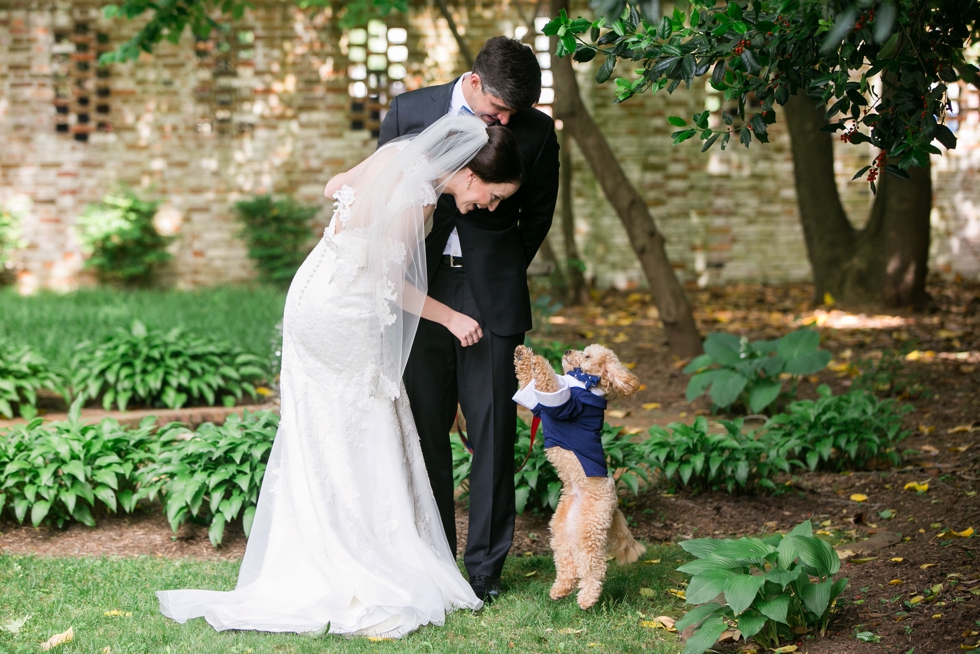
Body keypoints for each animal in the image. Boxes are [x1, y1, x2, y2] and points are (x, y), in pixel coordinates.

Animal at [516, 346, 648, 612]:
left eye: (587, 356)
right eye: (583, 350)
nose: (568, 350)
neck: (582, 383)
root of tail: (615, 506)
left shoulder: (565, 407)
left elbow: (548, 382)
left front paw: (540, 361)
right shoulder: (537, 405)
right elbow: (528, 384)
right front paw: (523, 355)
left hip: (589, 530)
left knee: (593, 568)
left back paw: (587, 598)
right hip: (562, 529)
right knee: (568, 563)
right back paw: (560, 589)